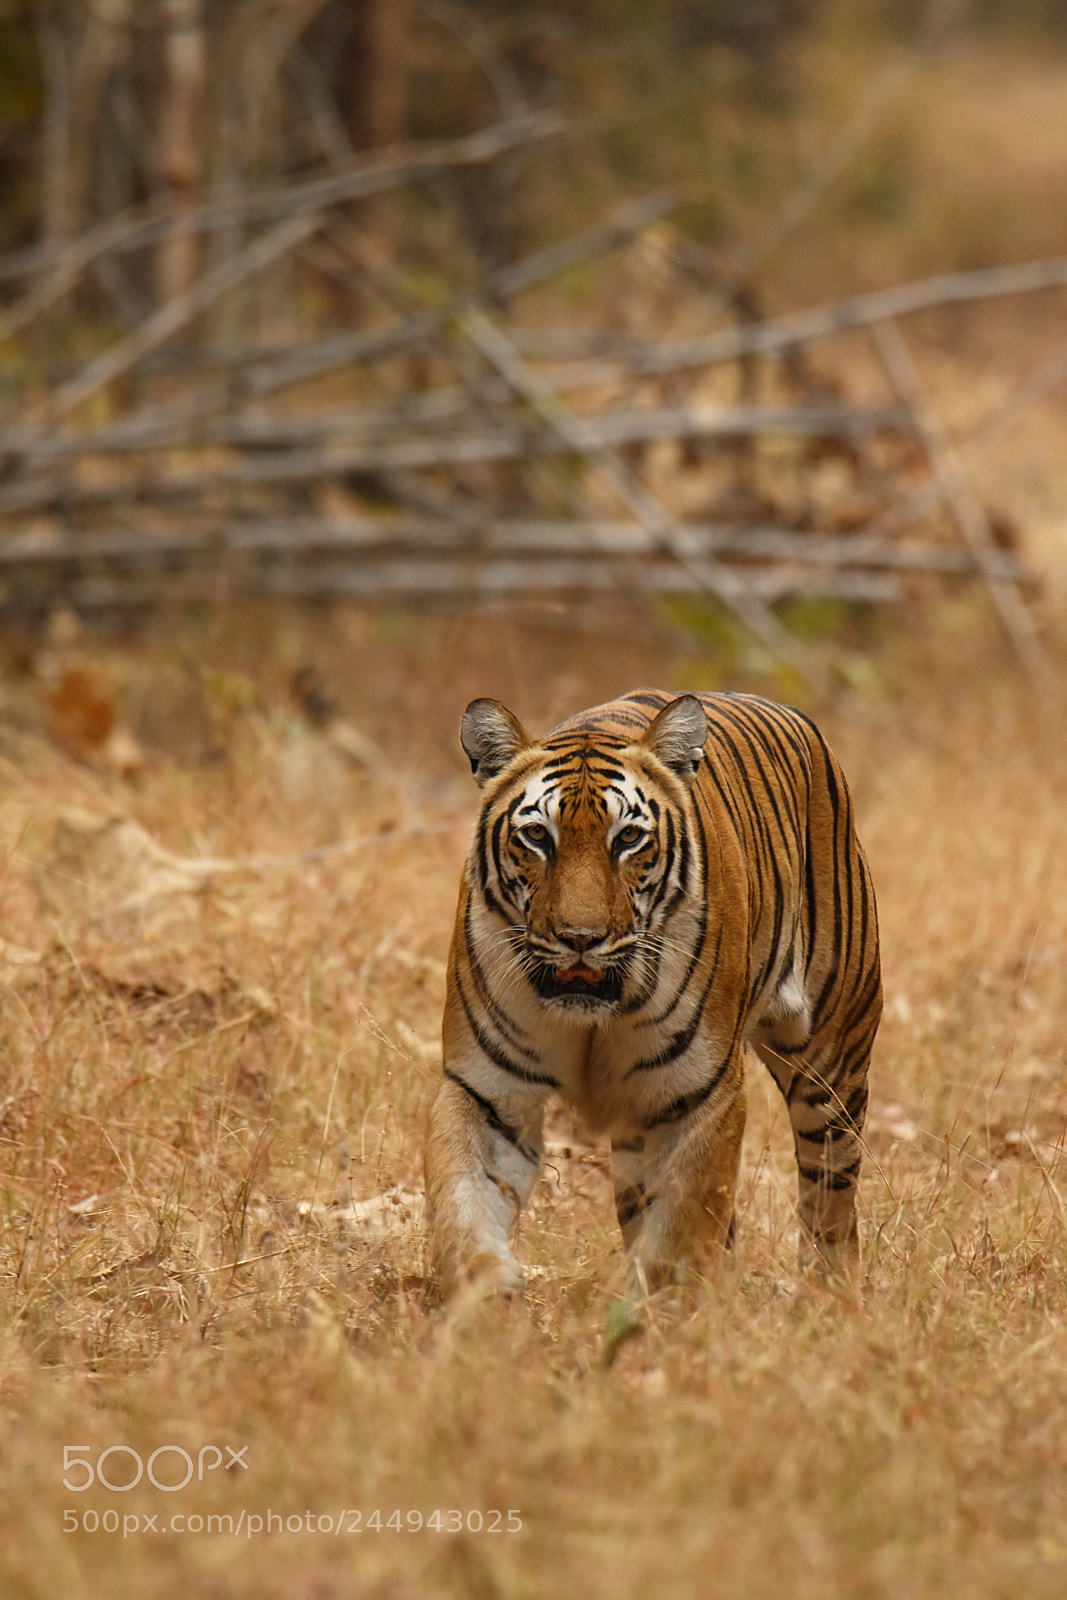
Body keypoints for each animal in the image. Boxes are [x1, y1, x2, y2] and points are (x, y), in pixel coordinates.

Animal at [424, 688, 882, 1301]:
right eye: (538, 836)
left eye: (629, 838)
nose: (580, 938)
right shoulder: (487, 1093)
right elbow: (465, 1212)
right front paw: (487, 1307)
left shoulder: (699, 1098)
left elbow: (674, 1239)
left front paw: (643, 1317)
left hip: (832, 1064)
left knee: (830, 1197)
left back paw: (828, 1297)